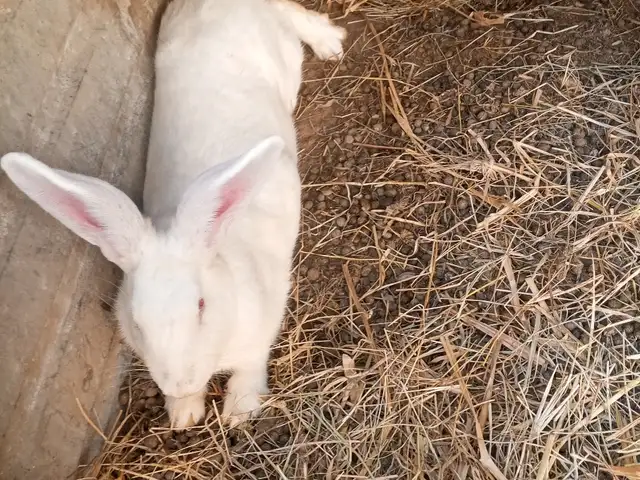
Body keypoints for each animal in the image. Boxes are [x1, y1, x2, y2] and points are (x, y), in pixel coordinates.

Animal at [0, 0, 346, 429]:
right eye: (136, 321)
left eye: (201, 306)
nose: (180, 383)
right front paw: (184, 413)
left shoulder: (265, 323)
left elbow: (250, 367)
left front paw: (239, 411)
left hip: (282, 47)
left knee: (290, 14)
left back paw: (329, 44)